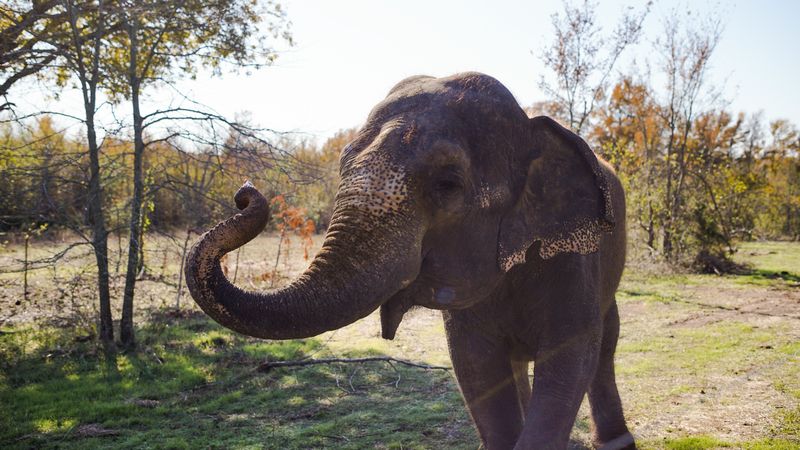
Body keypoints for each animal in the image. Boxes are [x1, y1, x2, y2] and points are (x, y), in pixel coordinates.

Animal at [185, 72, 634, 450]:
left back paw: (616, 443)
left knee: (606, 343)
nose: (245, 193)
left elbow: (570, 358)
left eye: (447, 183)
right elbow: (474, 364)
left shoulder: (575, 261)